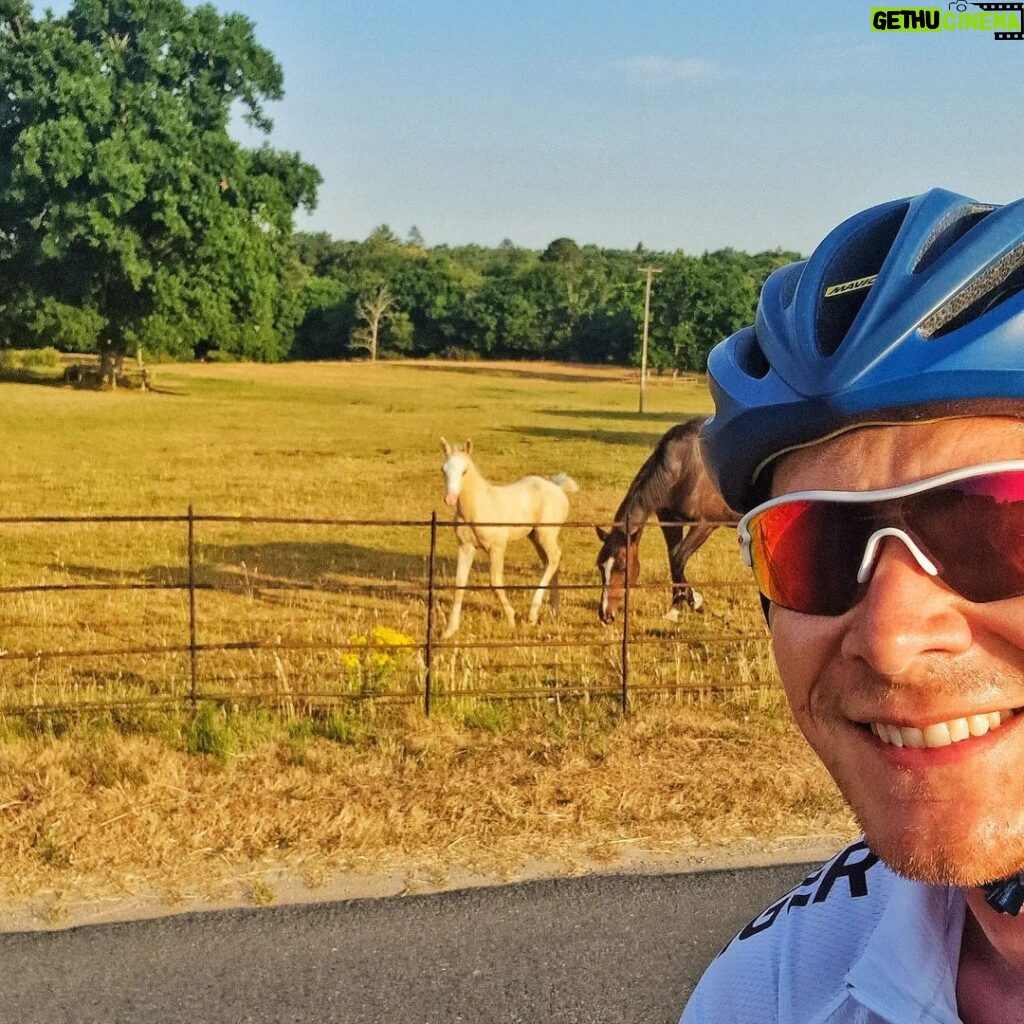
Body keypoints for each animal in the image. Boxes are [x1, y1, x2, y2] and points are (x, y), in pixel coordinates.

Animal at [598, 415, 741, 622]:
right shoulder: (671, 524)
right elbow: (673, 561)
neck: (686, 465)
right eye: (600, 566)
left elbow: (679, 559)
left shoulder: (705, 525)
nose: (605, 614)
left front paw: (695, 601)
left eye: (622, 567)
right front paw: (676, 607)